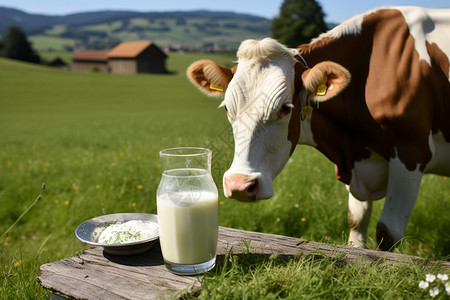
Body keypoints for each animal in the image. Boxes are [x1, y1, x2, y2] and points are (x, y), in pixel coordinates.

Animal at [186, 6, 450, 251]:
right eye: (227, 109)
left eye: (284, 108)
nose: (239, 185)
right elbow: (356, 221)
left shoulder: (411, 154)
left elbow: (388, 232)